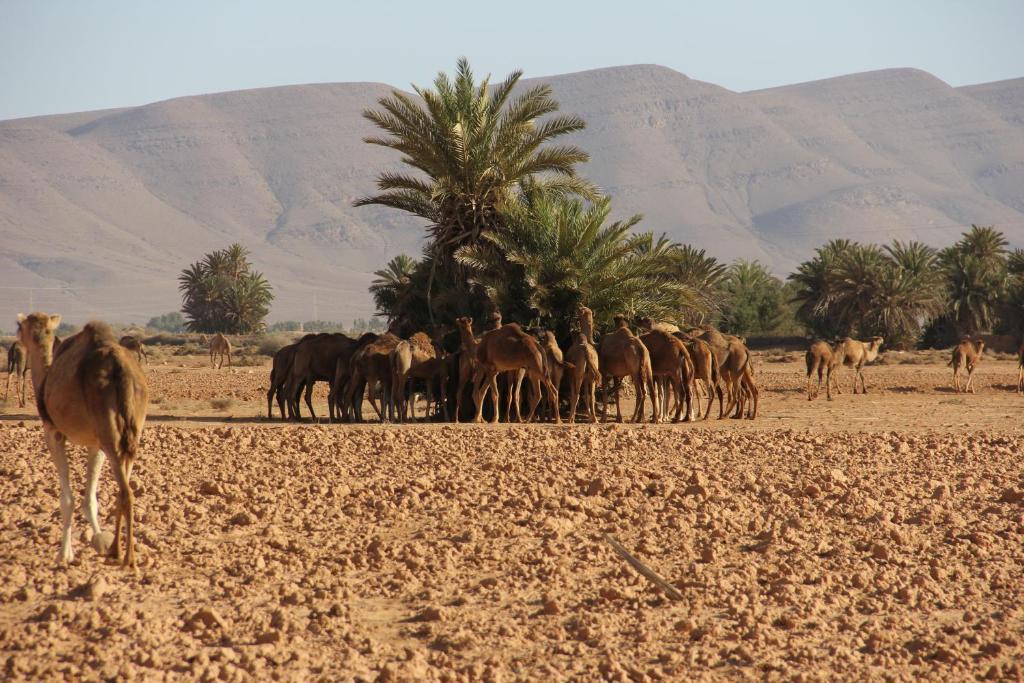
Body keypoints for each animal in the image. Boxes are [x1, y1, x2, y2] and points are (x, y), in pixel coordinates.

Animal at [17, 313, 148, 565]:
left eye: (20, 326)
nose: (17, 338)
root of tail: (121, 369)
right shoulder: (94, 444)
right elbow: (90, 500)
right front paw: (97, 540)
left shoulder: (53, 432)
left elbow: (67, 500)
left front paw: (64, 554)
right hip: (131, 433)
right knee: (124, 488)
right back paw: (118, 550)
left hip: (109, 433)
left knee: (126, 493)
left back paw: (125, 558)